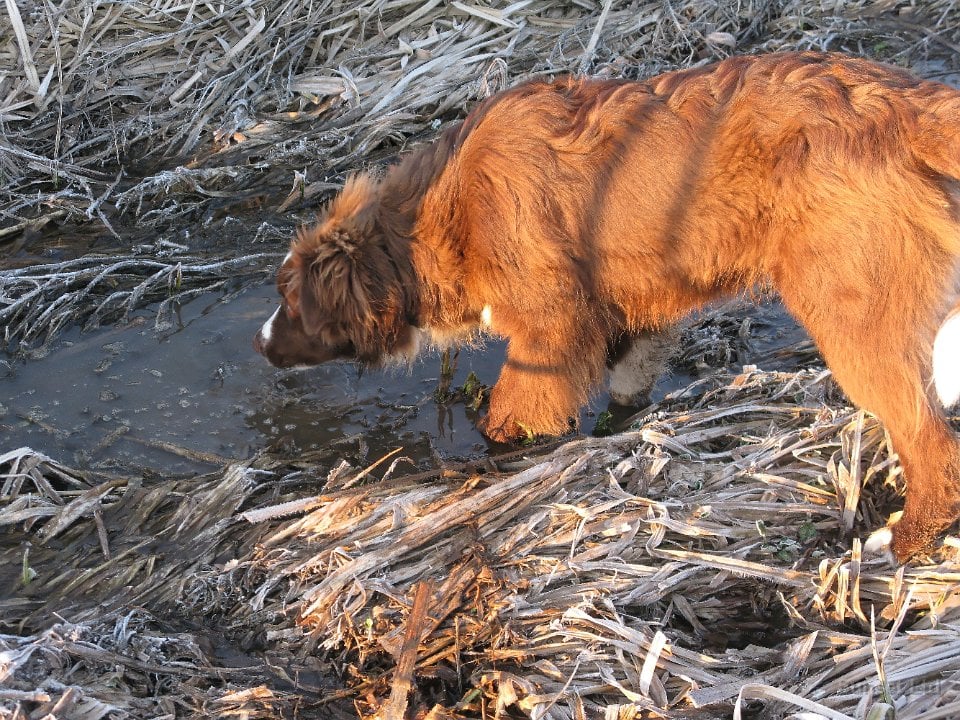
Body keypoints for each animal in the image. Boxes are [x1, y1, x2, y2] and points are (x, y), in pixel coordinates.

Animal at [255, 52, 960, 561]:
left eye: (289, 297)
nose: (259, 343)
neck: (431, 223)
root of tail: (905, 103)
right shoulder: (637, 309)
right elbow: (628, 378)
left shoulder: (551, 325)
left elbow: (518, 410)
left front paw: (503, 450)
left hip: (851, 311)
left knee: (932, 442)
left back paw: (904, 538)